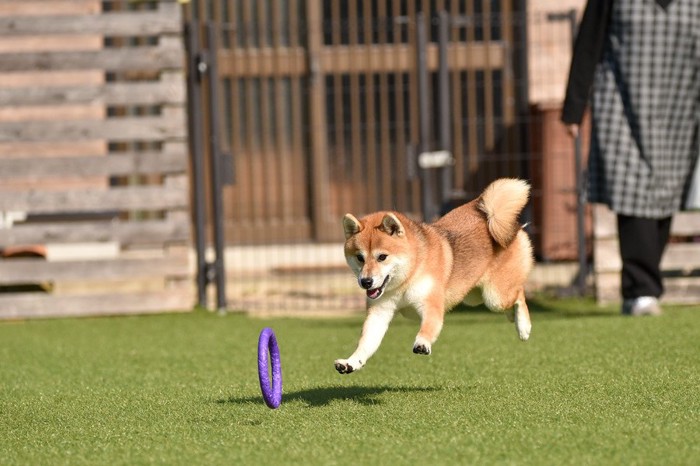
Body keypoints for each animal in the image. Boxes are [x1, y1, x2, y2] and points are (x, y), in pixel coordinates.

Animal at [336, 177, 532, 374]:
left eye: (382, 257)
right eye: (360, 258)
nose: (366, 282)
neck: (408, 277)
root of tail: (490, 215)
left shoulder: (430, 304)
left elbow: (428, 327)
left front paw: (422, 343)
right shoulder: (379, 313)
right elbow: (366, 343)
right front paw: (351, 362)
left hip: (495, 296)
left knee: (519, 294)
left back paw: (524, 327)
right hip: (474, 296)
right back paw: (513, 318)